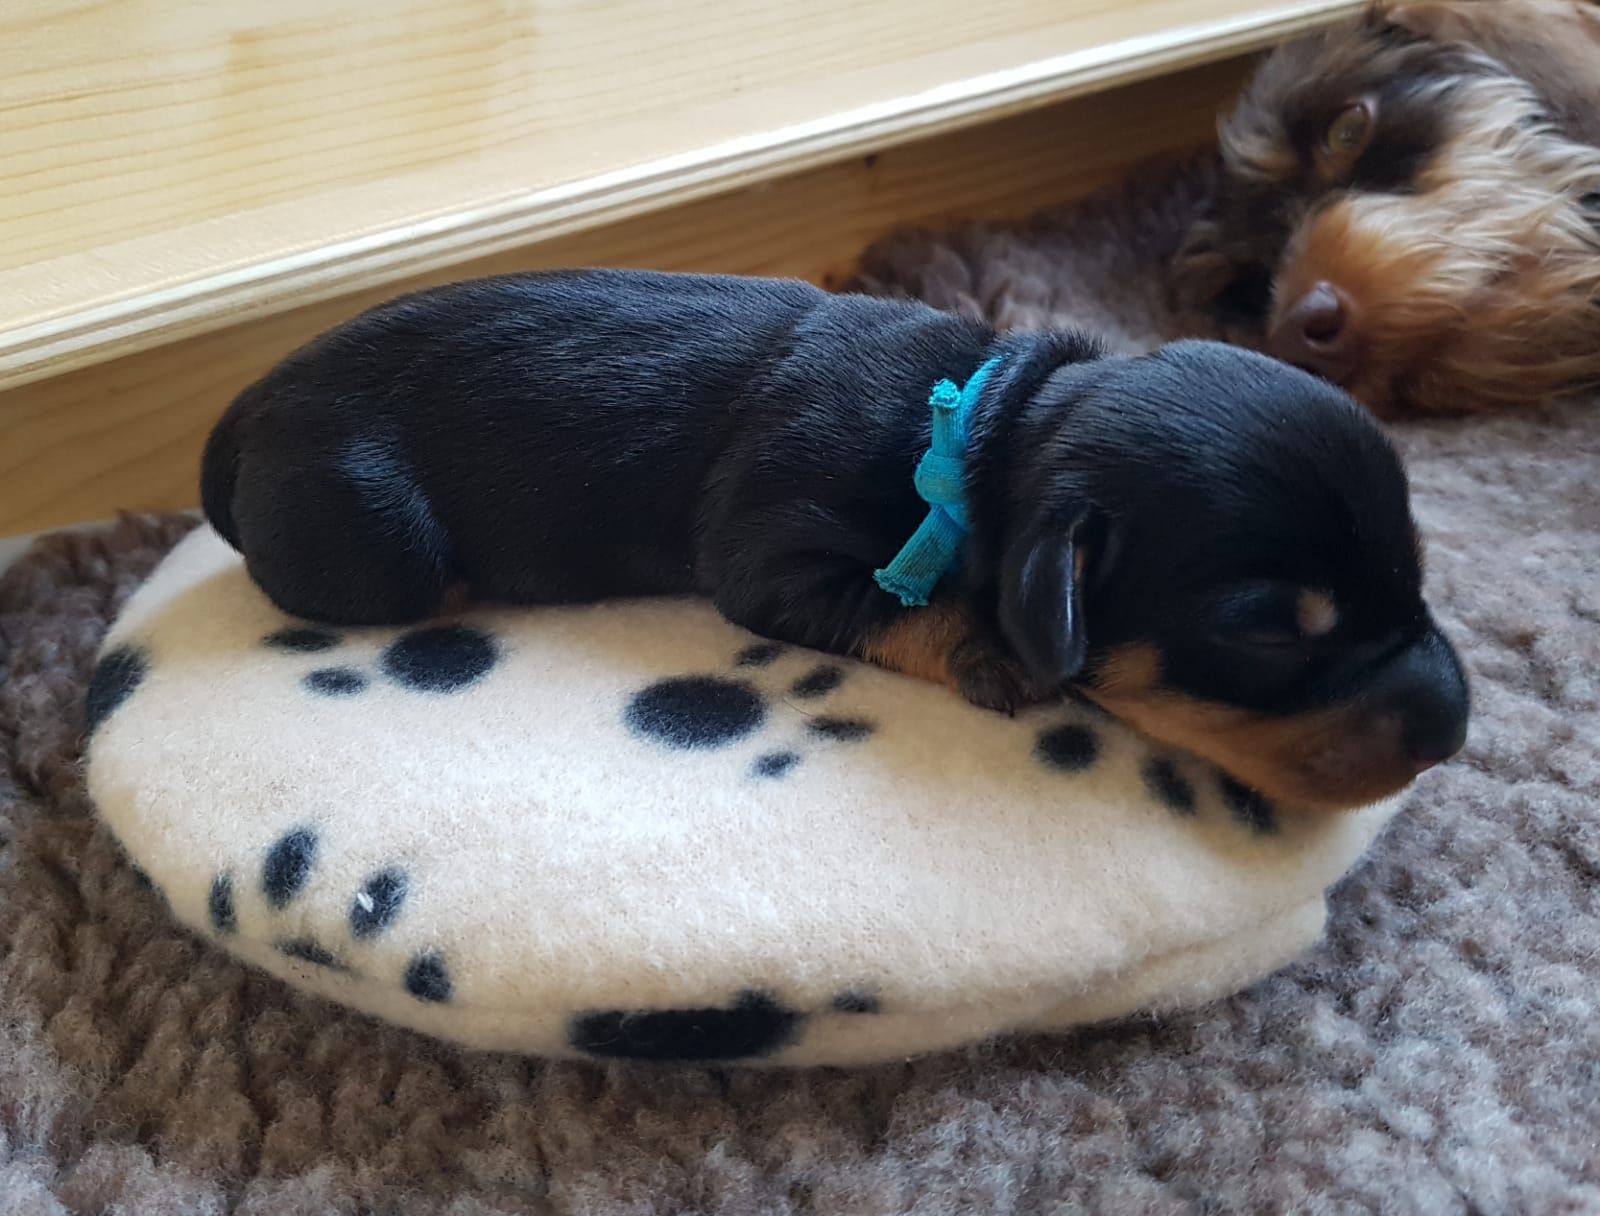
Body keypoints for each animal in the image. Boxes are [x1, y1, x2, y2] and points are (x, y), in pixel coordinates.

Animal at [202, 268, 1469, 811]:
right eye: (1269, 630)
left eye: (1416, 573)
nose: (1453, 727)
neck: (986, 422)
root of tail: (245, 408)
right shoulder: (772, 553)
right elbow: (902, 600)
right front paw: (990, 652)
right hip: (379, 536)